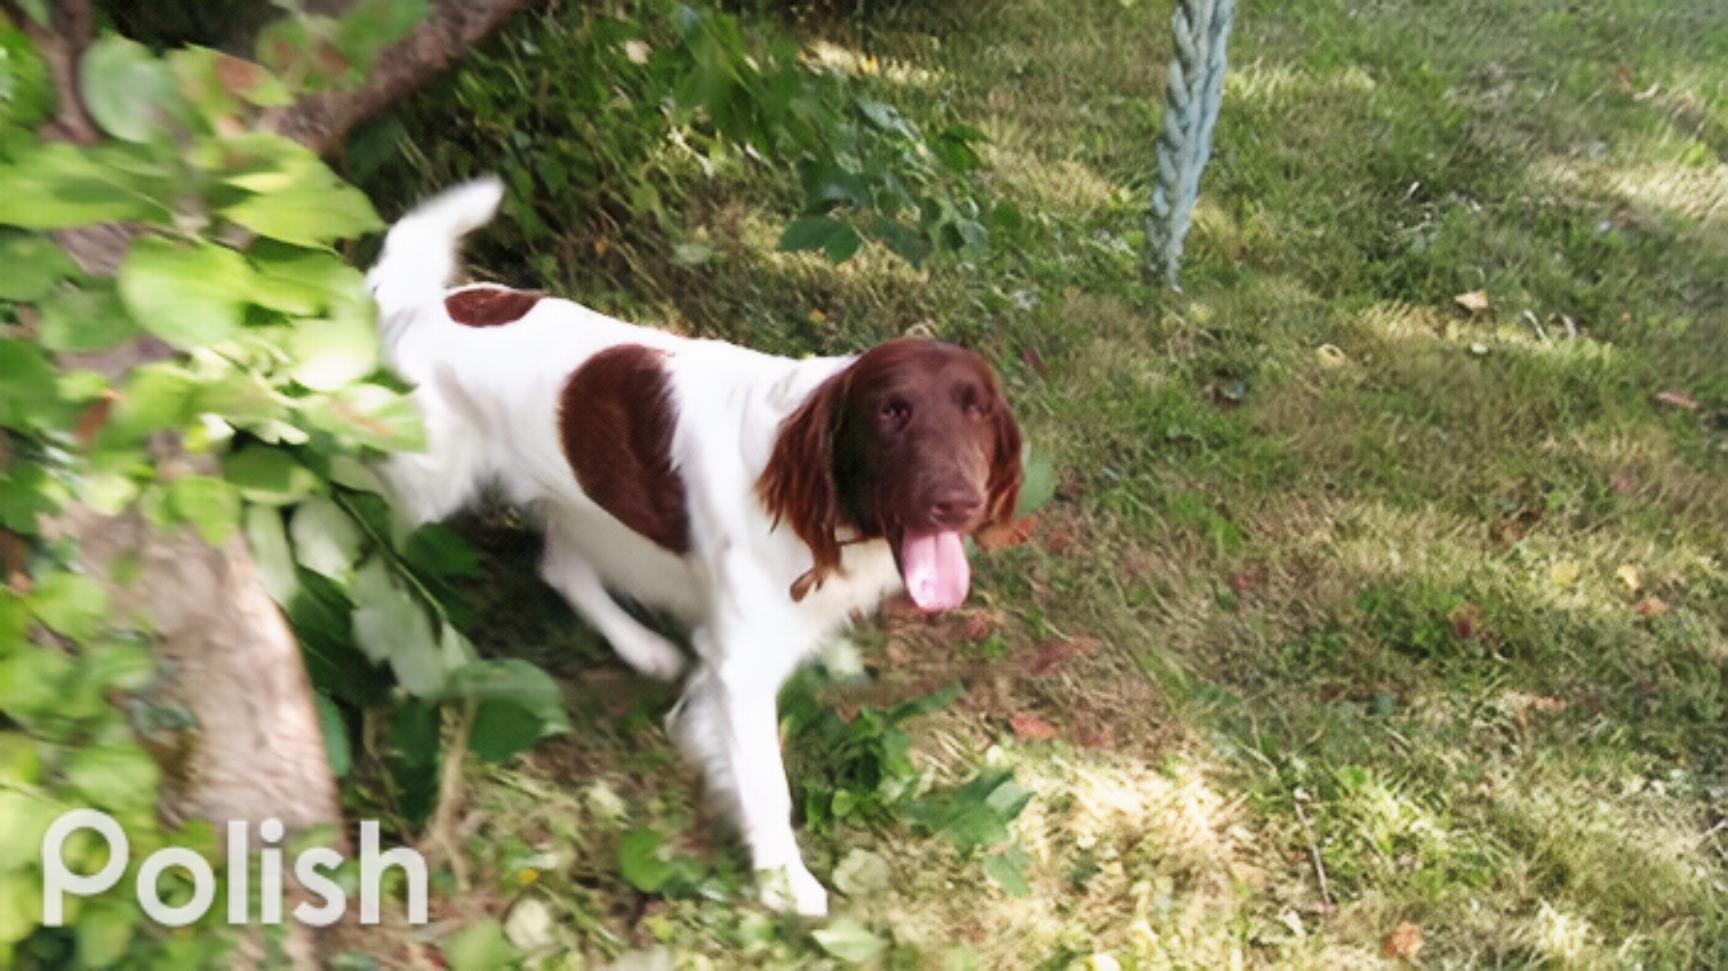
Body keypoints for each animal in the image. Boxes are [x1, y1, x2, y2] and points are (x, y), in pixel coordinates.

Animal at [364, 177, 1009, 912]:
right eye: (891, 411)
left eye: (978, 410)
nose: (959, 503)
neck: (802, 488)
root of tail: (418, 306)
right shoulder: (744, 660)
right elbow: (765, 780)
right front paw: (785, 883)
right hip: (424, 488)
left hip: (576, 502)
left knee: (560, 563)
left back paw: (643, 647)